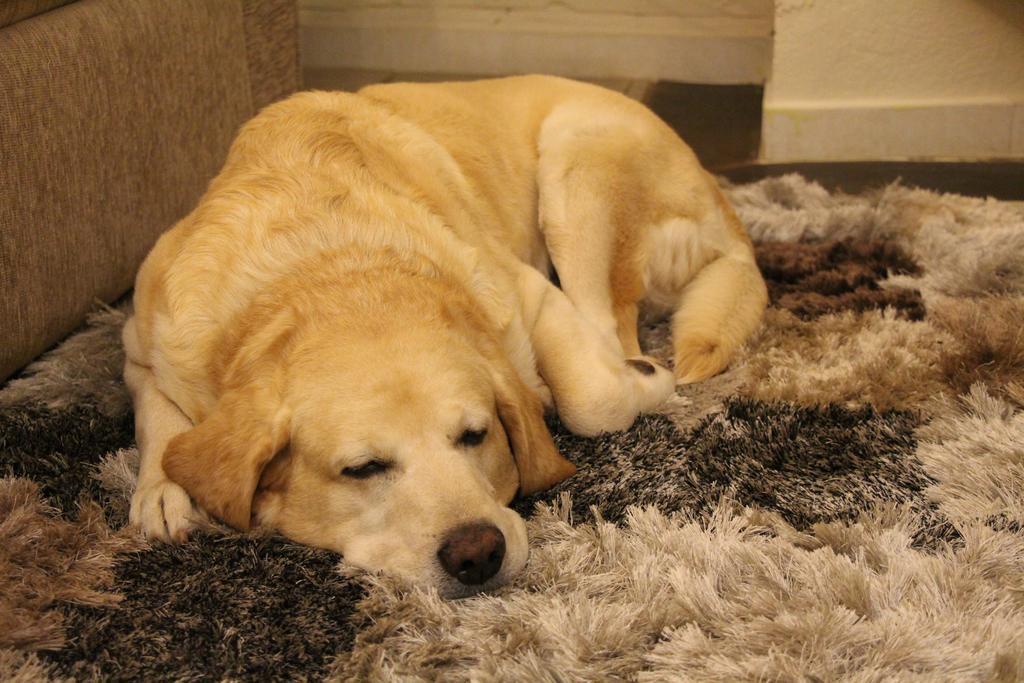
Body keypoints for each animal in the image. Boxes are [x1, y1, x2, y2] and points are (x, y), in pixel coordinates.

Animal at [123, 76, 765, 598]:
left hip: (577, 176)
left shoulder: (528, 293)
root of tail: (730, 217)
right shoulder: (140, 341)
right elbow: (157, 418)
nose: (477, 553)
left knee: (611, 332)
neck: (330, 269)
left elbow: (595, 400)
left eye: (475, 435)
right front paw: (161, 489)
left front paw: (639, 384)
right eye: (362, 469)